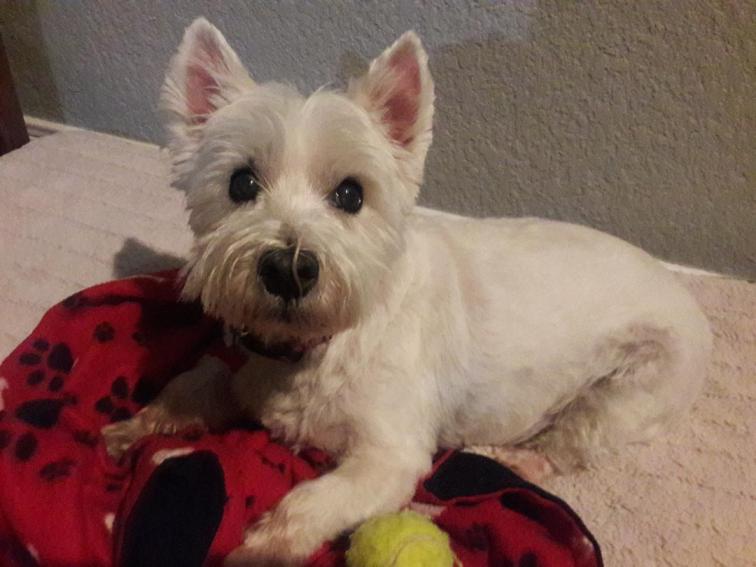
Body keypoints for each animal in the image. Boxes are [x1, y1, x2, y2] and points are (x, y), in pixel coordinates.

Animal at [102, 18, 712, 565]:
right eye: (241, 183)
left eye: (351, 194)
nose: (289, 270)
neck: (317, 345)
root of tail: (687, 298)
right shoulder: (242, 371)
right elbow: (193, 383)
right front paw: (130, 428)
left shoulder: (388, 455)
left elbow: (313, 500)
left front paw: (263, 549)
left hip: (633, 387)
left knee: (575, 441)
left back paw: (517, 461)